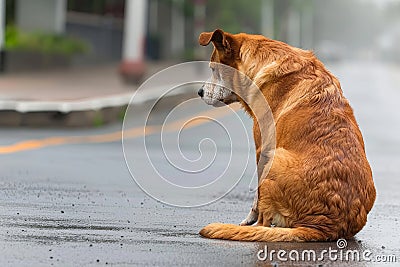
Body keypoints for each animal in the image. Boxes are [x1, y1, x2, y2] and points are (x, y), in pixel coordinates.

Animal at [198, 29, 376, 243]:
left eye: (213, 70)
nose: (199, 92)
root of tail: (325, 227)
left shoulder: (262, 149)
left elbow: (256, 198)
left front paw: (249, 219)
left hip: (275, 158)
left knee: (264, 222)